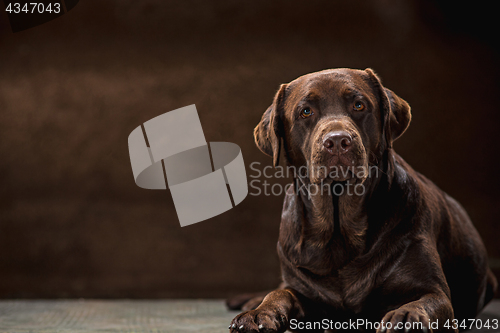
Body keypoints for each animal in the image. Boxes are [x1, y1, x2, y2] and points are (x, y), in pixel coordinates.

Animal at [227, 68, 496, 332]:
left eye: (359, 105)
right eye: (306, 111)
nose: (337, 141)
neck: (339, 230)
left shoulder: (435, 291)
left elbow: (425, 302)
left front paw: (406, 317)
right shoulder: (303, 286)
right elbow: (281, 293)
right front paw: (258, 313)